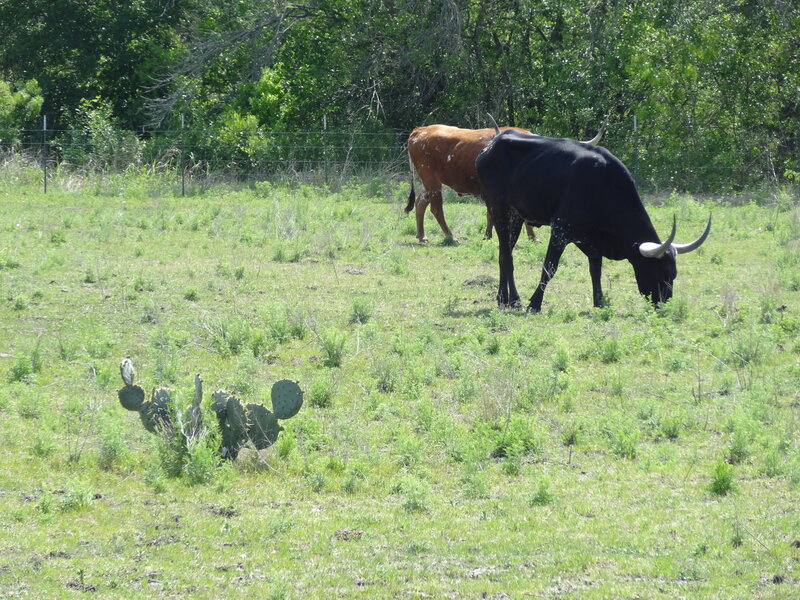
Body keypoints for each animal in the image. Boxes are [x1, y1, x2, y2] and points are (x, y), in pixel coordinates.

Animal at [406, 123, 604, 243]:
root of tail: (420, 130)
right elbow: (492, 214)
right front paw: (491, 235)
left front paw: (531, 237)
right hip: (431, 180)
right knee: (436, 208)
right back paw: (451, 237)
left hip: (430, 182)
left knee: (421, 203)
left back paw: (421, 236)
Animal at [475, 129, 711, 311]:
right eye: (661, 272)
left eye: (674, 275)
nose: (663, 305)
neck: (603, 184)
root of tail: (491, 146)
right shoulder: (561, 228)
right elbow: (549, 267)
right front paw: (535, 303)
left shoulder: (590, 238)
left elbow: (595, 269)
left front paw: (599, 302)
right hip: (498, 208)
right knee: (507, 256)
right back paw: (513, 300)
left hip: (515, 216)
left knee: (503, 253)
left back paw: (503, 299)